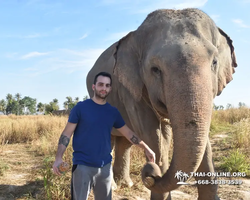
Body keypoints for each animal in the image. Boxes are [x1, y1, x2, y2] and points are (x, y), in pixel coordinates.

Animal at [86, 8, 236, 200]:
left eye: (215, 62)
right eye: (155, 69)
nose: (150, 173)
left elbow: (202, 140)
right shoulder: (130, 89)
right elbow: (152, 134)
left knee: (125, 142)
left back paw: (126, 184)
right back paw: (114, 186)